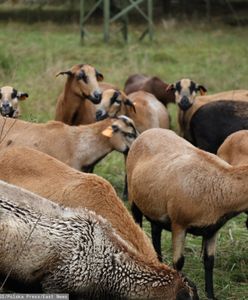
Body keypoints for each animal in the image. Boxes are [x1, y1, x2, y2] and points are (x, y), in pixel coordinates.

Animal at [127, 127, 248, 300]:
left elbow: (209, 261)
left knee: (156, 231)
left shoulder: (212, 229)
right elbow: (178, 262)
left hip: (155, 208)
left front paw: (210, 294)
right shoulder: (179, 224)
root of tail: (149, 130)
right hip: (134, 199)